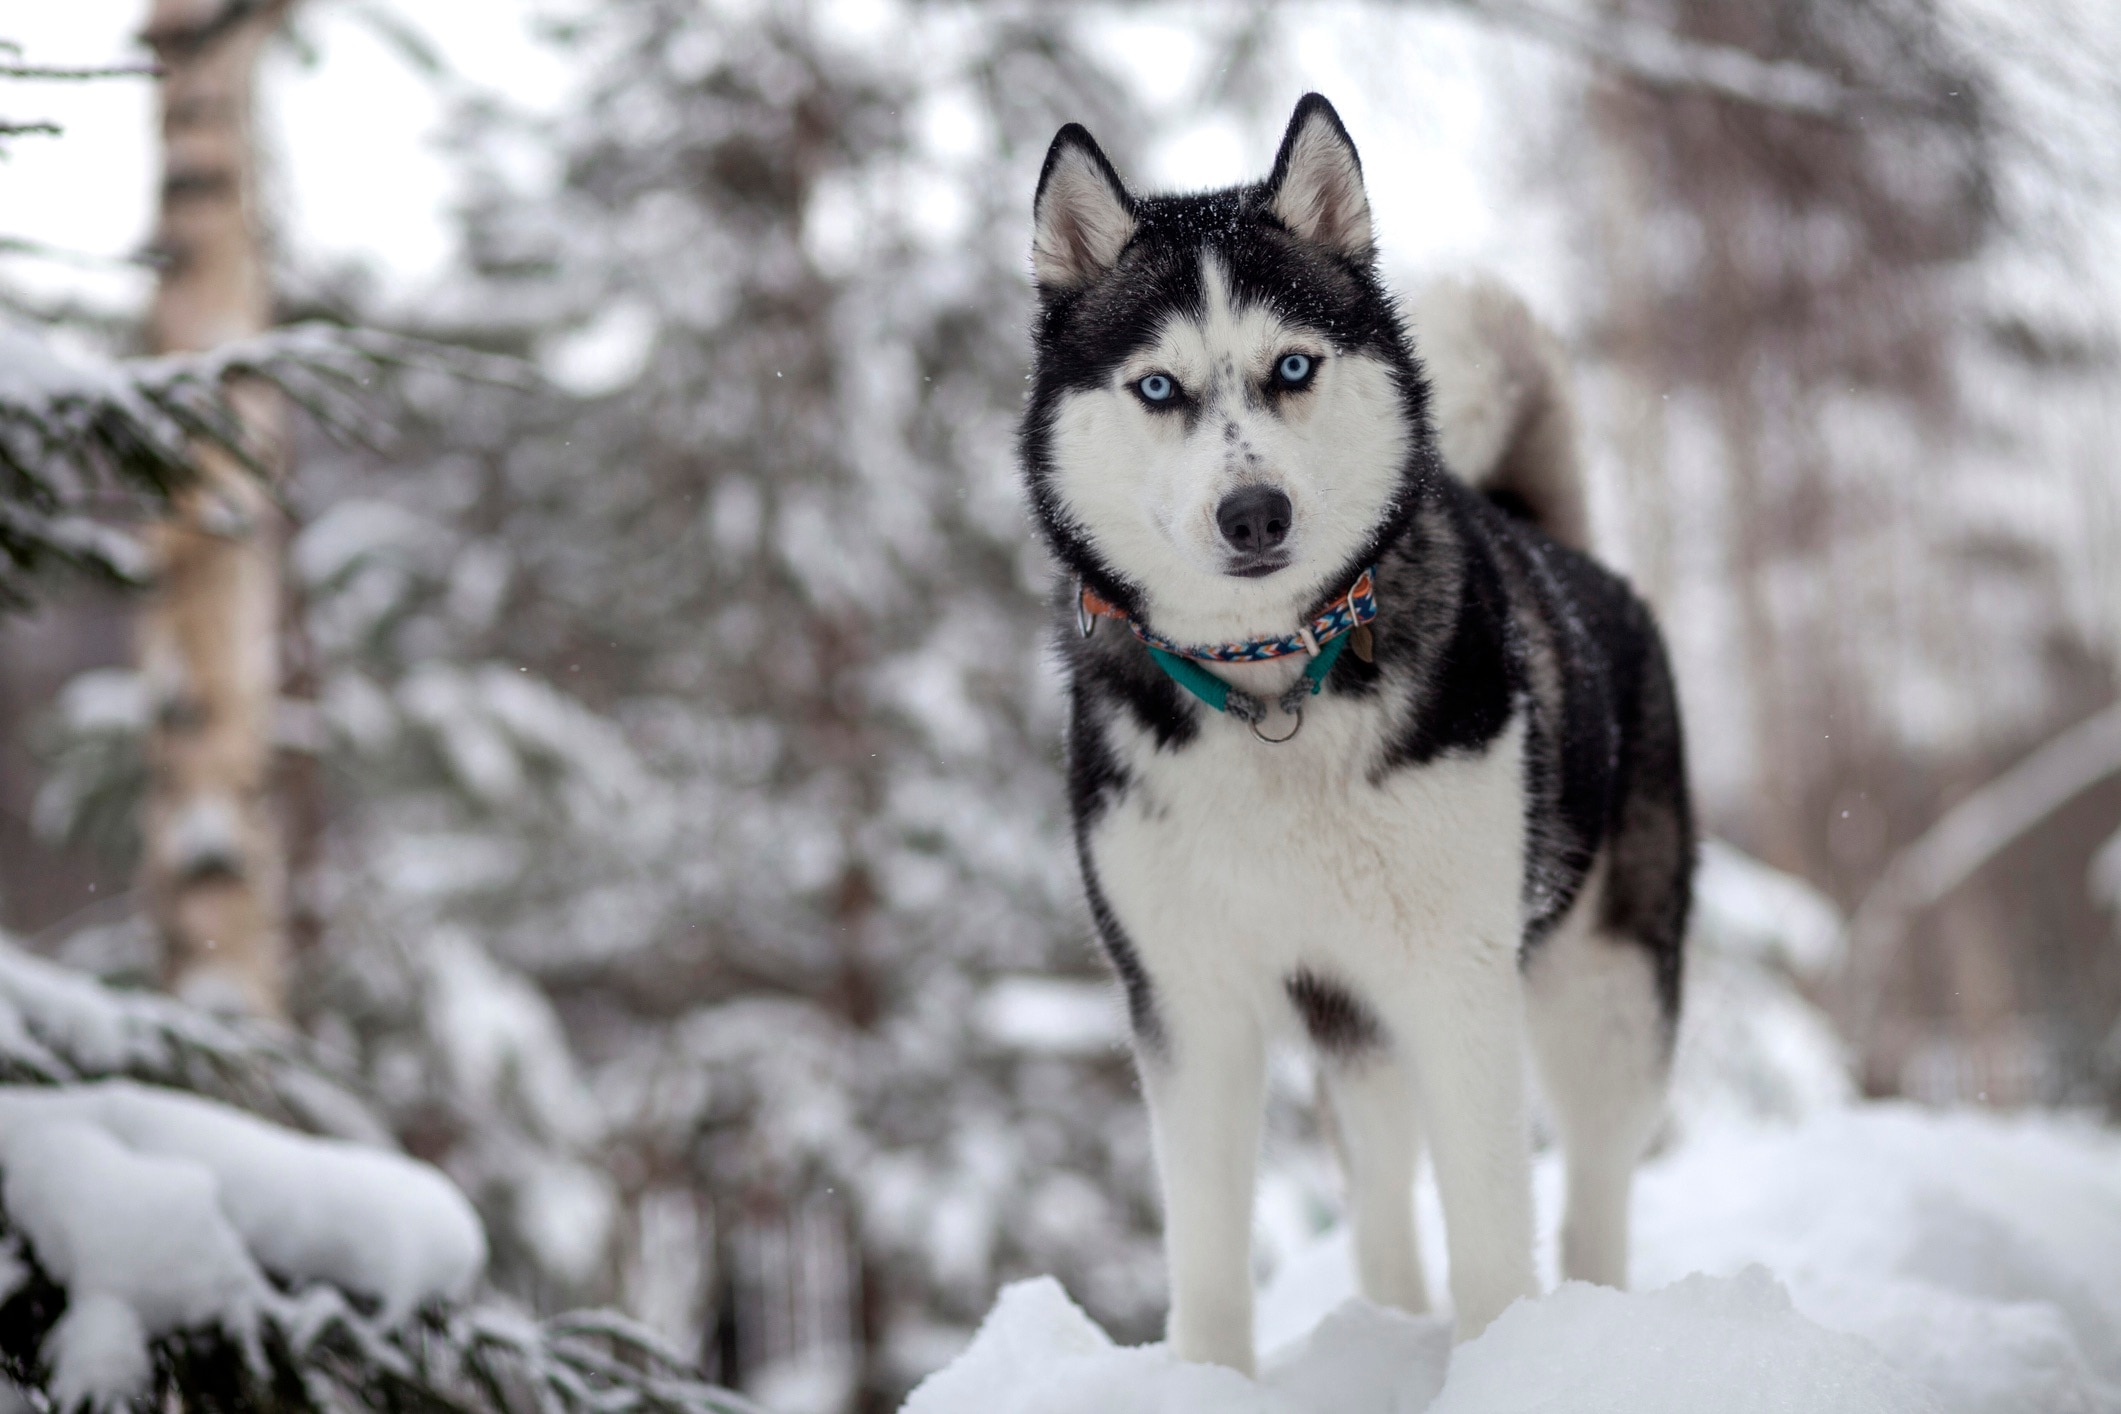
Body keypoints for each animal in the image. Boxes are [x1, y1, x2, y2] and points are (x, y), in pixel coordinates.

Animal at [1018, 91, 1696, 1373]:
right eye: (1158, 389)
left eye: (1293, 366)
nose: (1254, 512)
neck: (1272, 691)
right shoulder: (1186, 1001)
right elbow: (1207, 1262)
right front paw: (1210, 1384)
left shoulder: (1457, 977)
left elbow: (1494, 1232)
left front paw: (1504, 1367)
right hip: (1356, 1027)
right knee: (1382, 1193)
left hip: (1607, 995)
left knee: (1594, 1190)